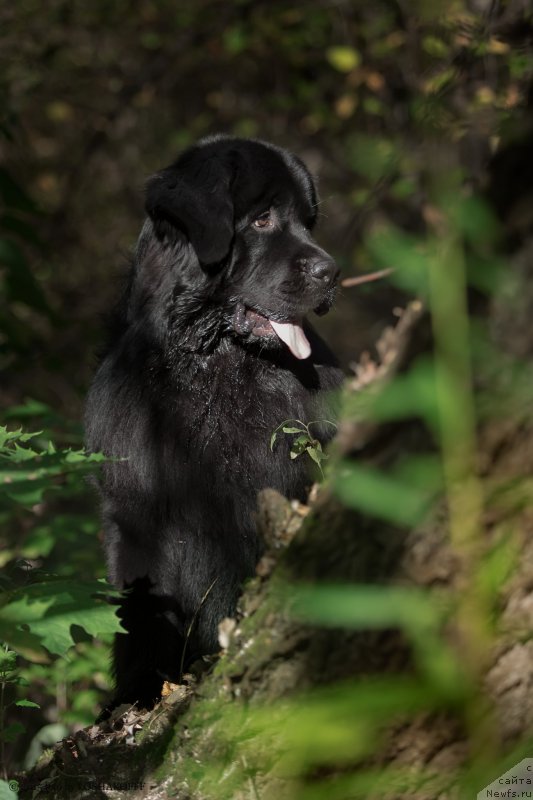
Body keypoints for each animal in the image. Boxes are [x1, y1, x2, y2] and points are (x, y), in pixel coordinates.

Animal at [84, 134, 340, 716]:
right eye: (264, 219)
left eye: (308, 221)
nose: (331, 272)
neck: (218, 365)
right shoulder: (139, 515)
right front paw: (138, 692)